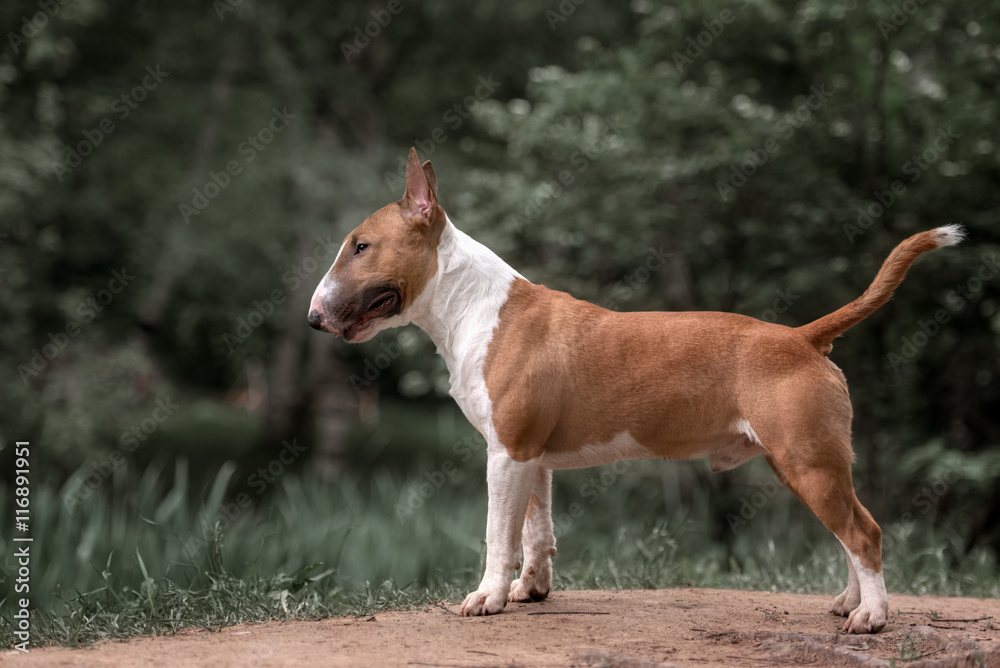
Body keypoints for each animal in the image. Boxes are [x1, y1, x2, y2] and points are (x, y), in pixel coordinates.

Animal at [308, 146, 964, 632]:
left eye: (361, 246)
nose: (312, 318)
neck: (476, 307)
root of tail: (804, 337)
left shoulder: (506, 454)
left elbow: (499, 532)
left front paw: (486, 597)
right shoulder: (528, 456)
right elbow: (536, 530)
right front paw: (529, 591)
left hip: (808, 461)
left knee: (863, 531)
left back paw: (872, 617)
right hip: (805, 462)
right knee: (852, 525)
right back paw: (850, 603)